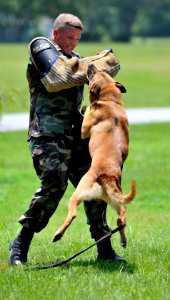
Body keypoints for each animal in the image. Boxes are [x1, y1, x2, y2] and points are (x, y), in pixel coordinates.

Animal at [52, 63, 136, 248]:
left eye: (94, 73)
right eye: (101, 71)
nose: (90, 65)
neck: (110, 100)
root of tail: (107, 177)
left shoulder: (85, 129)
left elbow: (87, 112)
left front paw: (84, 107)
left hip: (78, 193)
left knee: (73, 214)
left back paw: (58, 234)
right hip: (116, 202)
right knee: (121, 219)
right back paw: (123, 240)